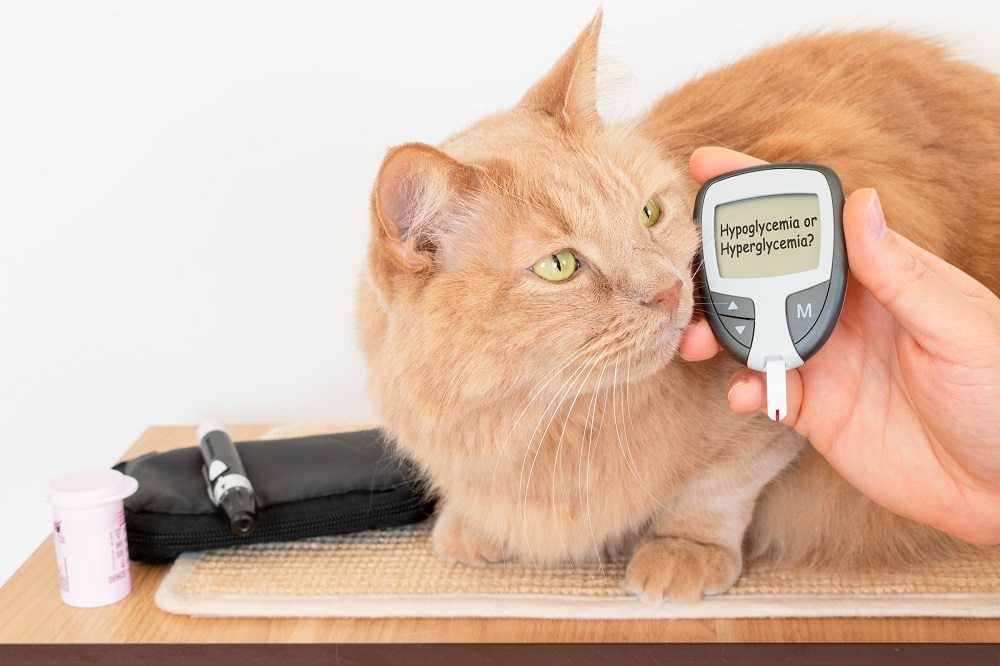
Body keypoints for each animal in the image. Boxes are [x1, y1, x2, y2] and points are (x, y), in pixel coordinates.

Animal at [356, 11, 996, 600]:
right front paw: (476, 525)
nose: (667, 289)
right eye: (559, 266)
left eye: (649, 214)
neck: (551, 429)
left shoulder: (764, 438)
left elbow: (717, 489)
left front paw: (682, 549)